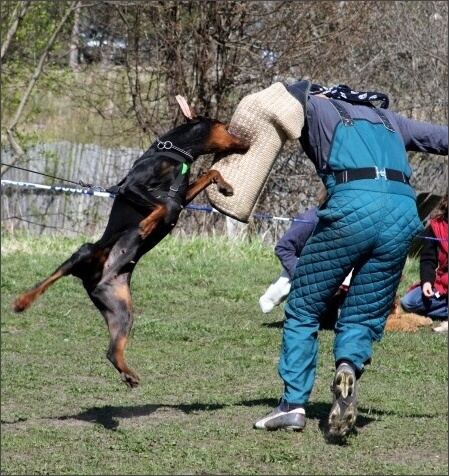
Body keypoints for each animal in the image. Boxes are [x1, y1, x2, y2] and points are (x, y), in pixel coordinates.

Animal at [11, 95, 248, 388]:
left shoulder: (181, 196)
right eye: (226, 127)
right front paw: (146, 225)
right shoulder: (131, 188)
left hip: (123, 309)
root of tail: (96, 279)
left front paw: (225, 186)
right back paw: (22, 301)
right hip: (86, 252)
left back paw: (128, 373)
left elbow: (206, 175)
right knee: (46, 281)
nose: (247, 140)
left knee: (112, 350)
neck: (175, 155)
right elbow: (163, 204)